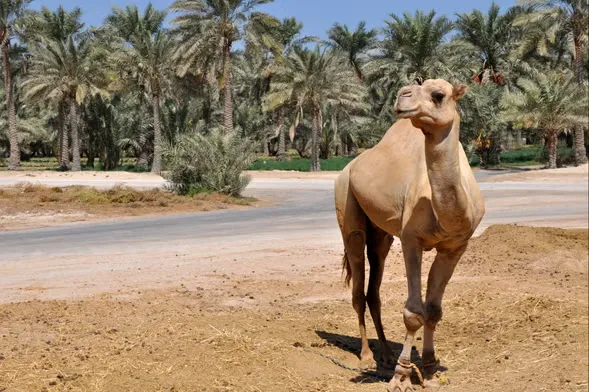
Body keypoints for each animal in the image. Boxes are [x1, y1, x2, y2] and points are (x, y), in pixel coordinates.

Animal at [334, 78, 484, 390]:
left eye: (439, 95)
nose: (403, 95)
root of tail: (349, 167)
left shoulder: (455, 246)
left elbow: (434, 309)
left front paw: (430, 366)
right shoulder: (411, 240)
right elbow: (414, 312)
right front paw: (402, 376)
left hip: (381, 234)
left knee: (374, 286)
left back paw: (386, 355)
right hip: (347, 205)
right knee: (357, 283)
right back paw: (367, 357)